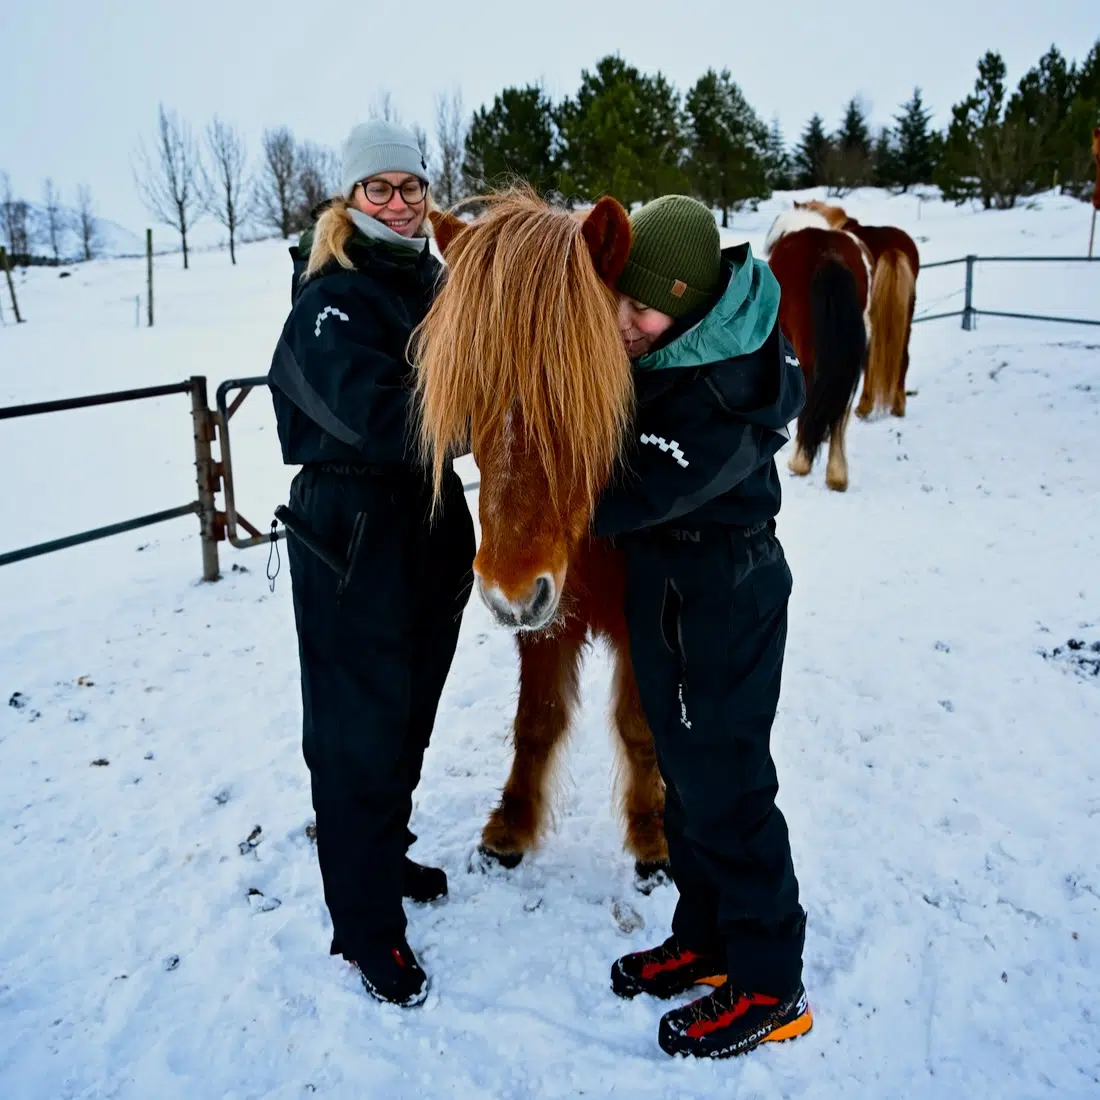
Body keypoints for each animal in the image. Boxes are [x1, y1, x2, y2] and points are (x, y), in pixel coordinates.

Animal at [410, 189, 670, 891]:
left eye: (579, 395)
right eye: (469, 397)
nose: (509, 592)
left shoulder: (640, 621)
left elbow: (639, 725)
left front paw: (651, 833)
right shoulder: (547, 623)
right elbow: (535, 721)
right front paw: (511, 827)